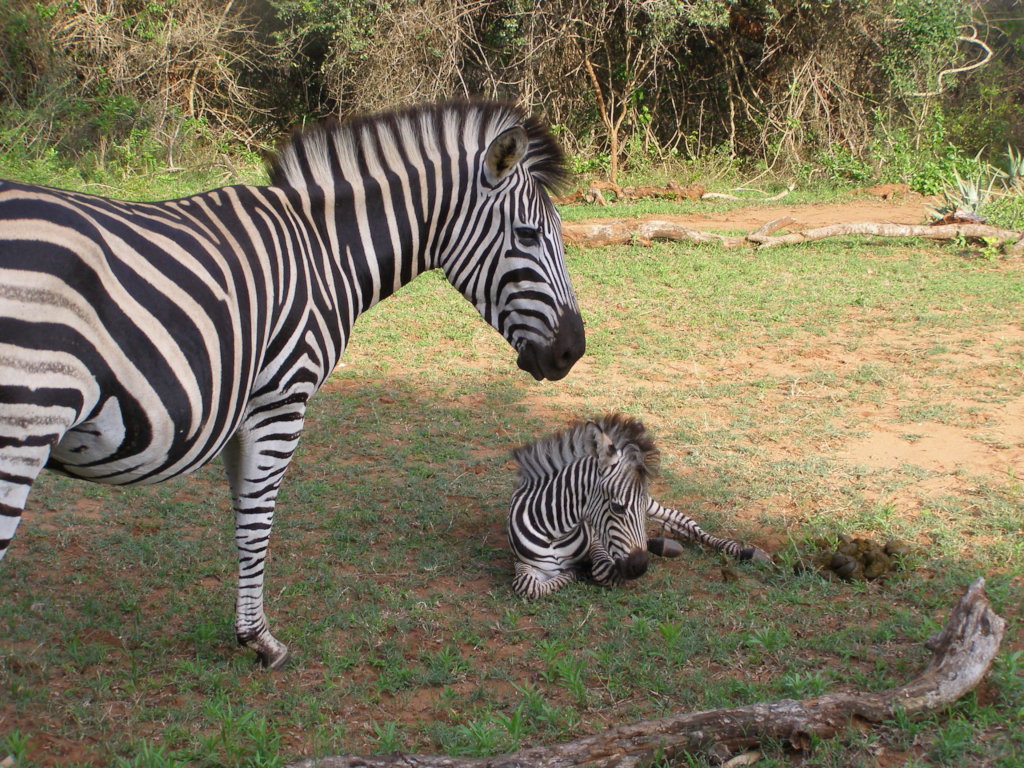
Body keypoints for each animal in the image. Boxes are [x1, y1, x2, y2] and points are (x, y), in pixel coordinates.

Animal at [0, 100, 585, 669]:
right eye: (529, 235)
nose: (572, 351)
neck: (326, 252)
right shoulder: (281, 400)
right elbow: (258, 522)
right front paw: (260, 640)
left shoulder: (246, 410)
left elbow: (243, 515)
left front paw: (248, 631)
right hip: (23, 429)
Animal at [506, 414, 770, 599]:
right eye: (617, 507)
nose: (640, 567)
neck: (556, 532)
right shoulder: (524, 564)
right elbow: (526, 587)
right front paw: (575, 571)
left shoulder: (598, 543)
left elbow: (602, 570)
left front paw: (581, 569)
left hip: (656, 507)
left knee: (684, 522)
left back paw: (746, 551)